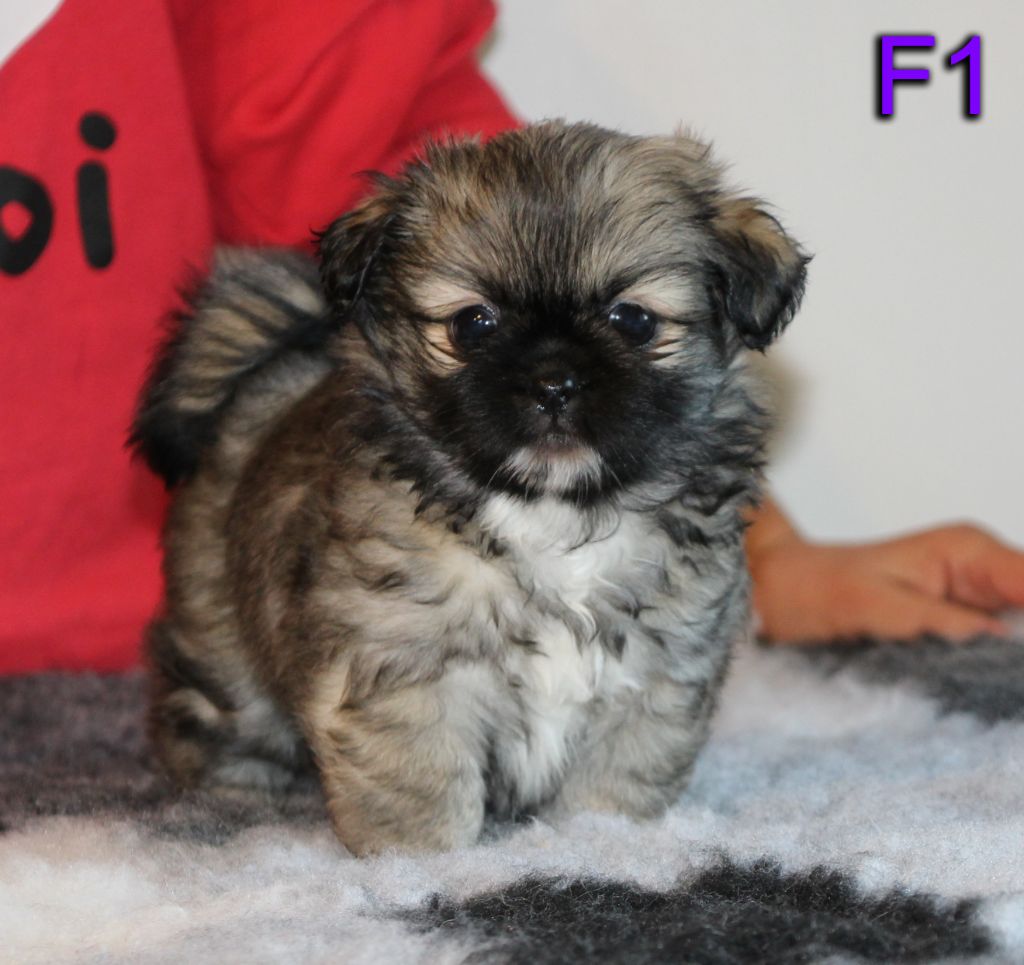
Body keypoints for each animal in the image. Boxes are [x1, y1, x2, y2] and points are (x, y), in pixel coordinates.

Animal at [131, 121, 807, 855]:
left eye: (632, 320)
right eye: (473, 323)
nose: (553, 381)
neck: (552, 514)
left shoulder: (656, 672)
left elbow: (617, 779)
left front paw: (604, 839)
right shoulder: (406, 671)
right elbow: (419, 780)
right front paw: (415, 859)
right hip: (221, 635)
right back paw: (233, 788)